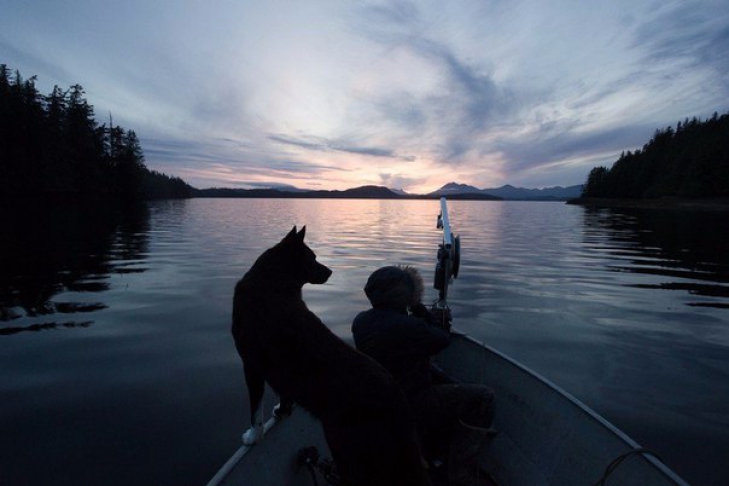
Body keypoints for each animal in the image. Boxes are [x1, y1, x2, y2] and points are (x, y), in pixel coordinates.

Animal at [232, 226, 431, 486]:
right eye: (312, 258)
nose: (330, 271)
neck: (272, 286)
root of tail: (398, 400)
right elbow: (284, 395)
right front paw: (282, 411)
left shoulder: (251, 365)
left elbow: (255, 411)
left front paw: (253, 435)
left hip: (347, 447)